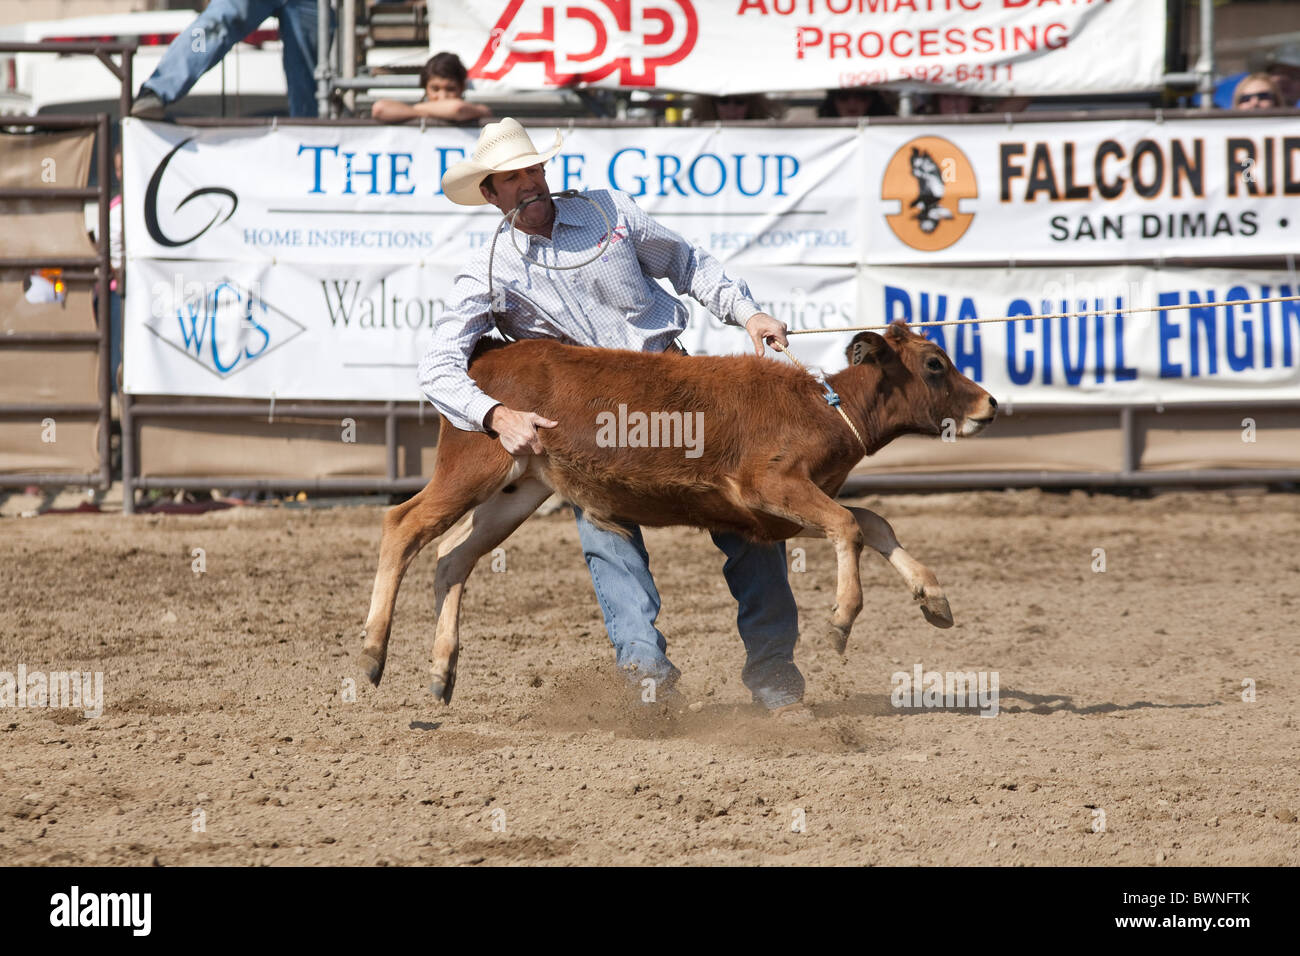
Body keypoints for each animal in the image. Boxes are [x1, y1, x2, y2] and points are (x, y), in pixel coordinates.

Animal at [356, 321, 993, 702]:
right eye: (935, 363)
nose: (989, 404)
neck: (827, 410)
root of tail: (489, 352)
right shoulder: (771, 484)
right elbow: (849, 524)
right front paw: (840, 620)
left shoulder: (773, 514)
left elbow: (871, 522)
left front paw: (933, 598)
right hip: (472, 467)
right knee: (403, 527)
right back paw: (371, 655)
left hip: (518, 490)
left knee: (451, 557)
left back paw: (442, 671)